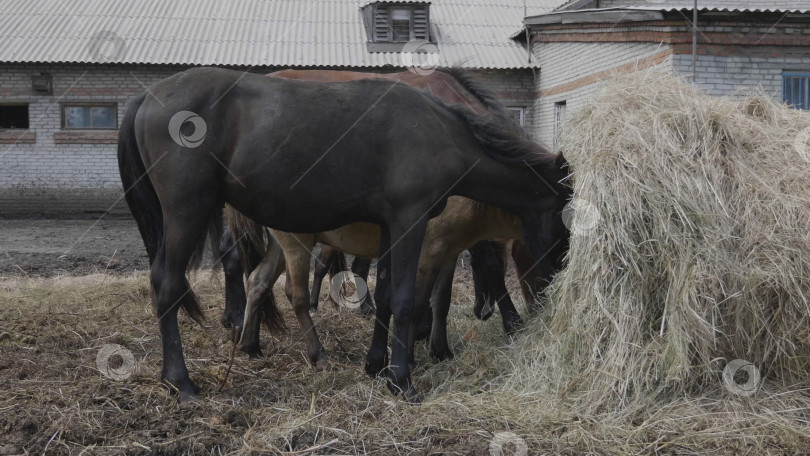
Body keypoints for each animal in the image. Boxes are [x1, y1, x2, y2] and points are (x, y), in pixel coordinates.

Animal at [118, 66, 568, 400]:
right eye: (566, 218)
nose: (555, 286)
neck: (438, 129)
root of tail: (148, 97)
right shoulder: (411, 222)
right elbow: (407, 300)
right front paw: (401, 380)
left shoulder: (390, 228)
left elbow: (385, 295)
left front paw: (378, 366)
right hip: (187, 211)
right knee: (168, 283)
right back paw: (181, 381)